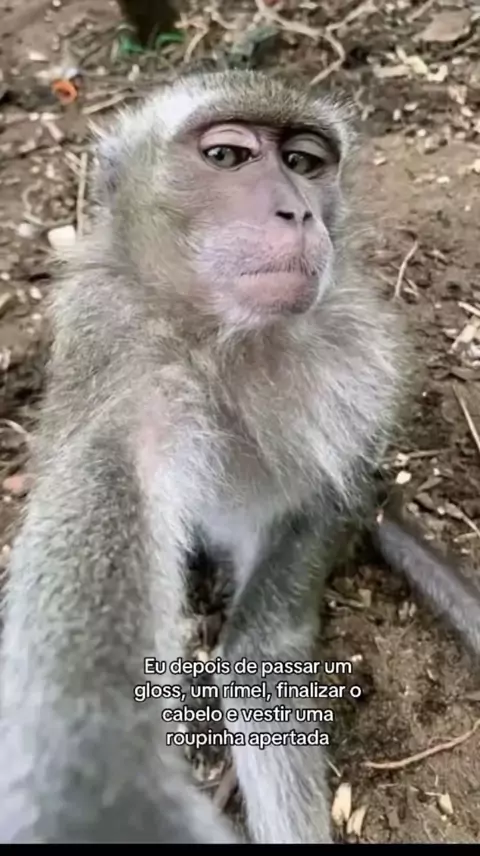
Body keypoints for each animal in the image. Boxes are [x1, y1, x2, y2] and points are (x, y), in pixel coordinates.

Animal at [0, 70, 405, 843]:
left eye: (304, 163)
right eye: (227, 156)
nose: (296, 210)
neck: (217, 337)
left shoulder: (349, 356)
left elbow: (320, 510)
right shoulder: (121, 359)